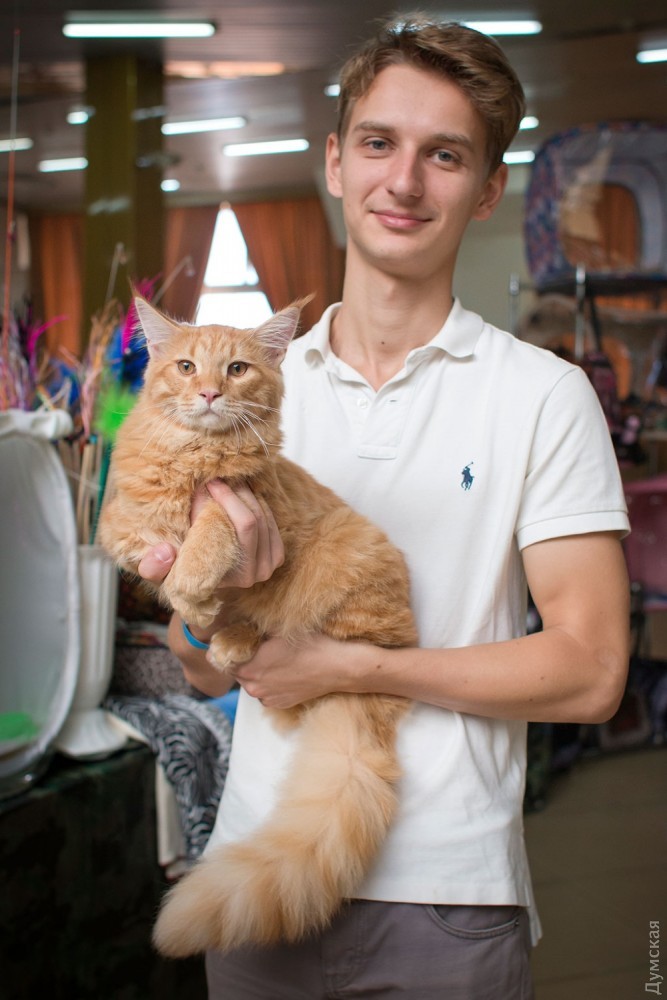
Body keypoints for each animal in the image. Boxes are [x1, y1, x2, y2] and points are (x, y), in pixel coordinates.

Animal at [98, 296, 417, 957]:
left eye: (238, 368)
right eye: (187, 366)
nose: (211, 392)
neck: (193, 453)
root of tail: (370, 710)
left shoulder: (250, 502)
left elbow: (209, 532)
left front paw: (192, 587)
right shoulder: (120, 515)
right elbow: (139, 543)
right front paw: (180, 588)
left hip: (346, 562)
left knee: (331, 645)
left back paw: (236, 639)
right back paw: (227, 641)